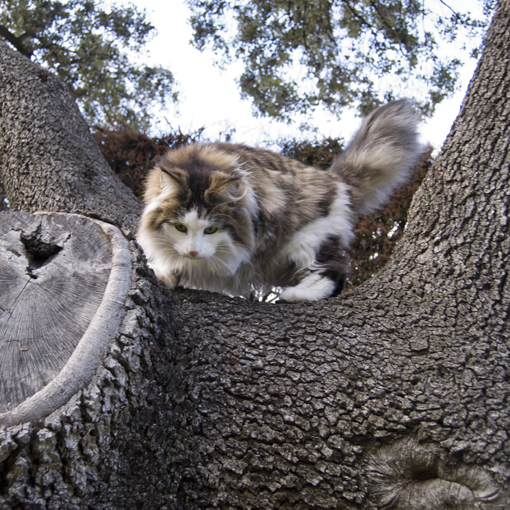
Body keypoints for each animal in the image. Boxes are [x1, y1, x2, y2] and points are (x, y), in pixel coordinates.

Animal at [135, 99, 422, 300]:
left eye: (212, 230)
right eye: (180, 227)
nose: (193, 251)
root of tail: (334, 178)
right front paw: (164, 271)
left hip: (308, 240)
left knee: (335, 270)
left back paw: (297, 295)